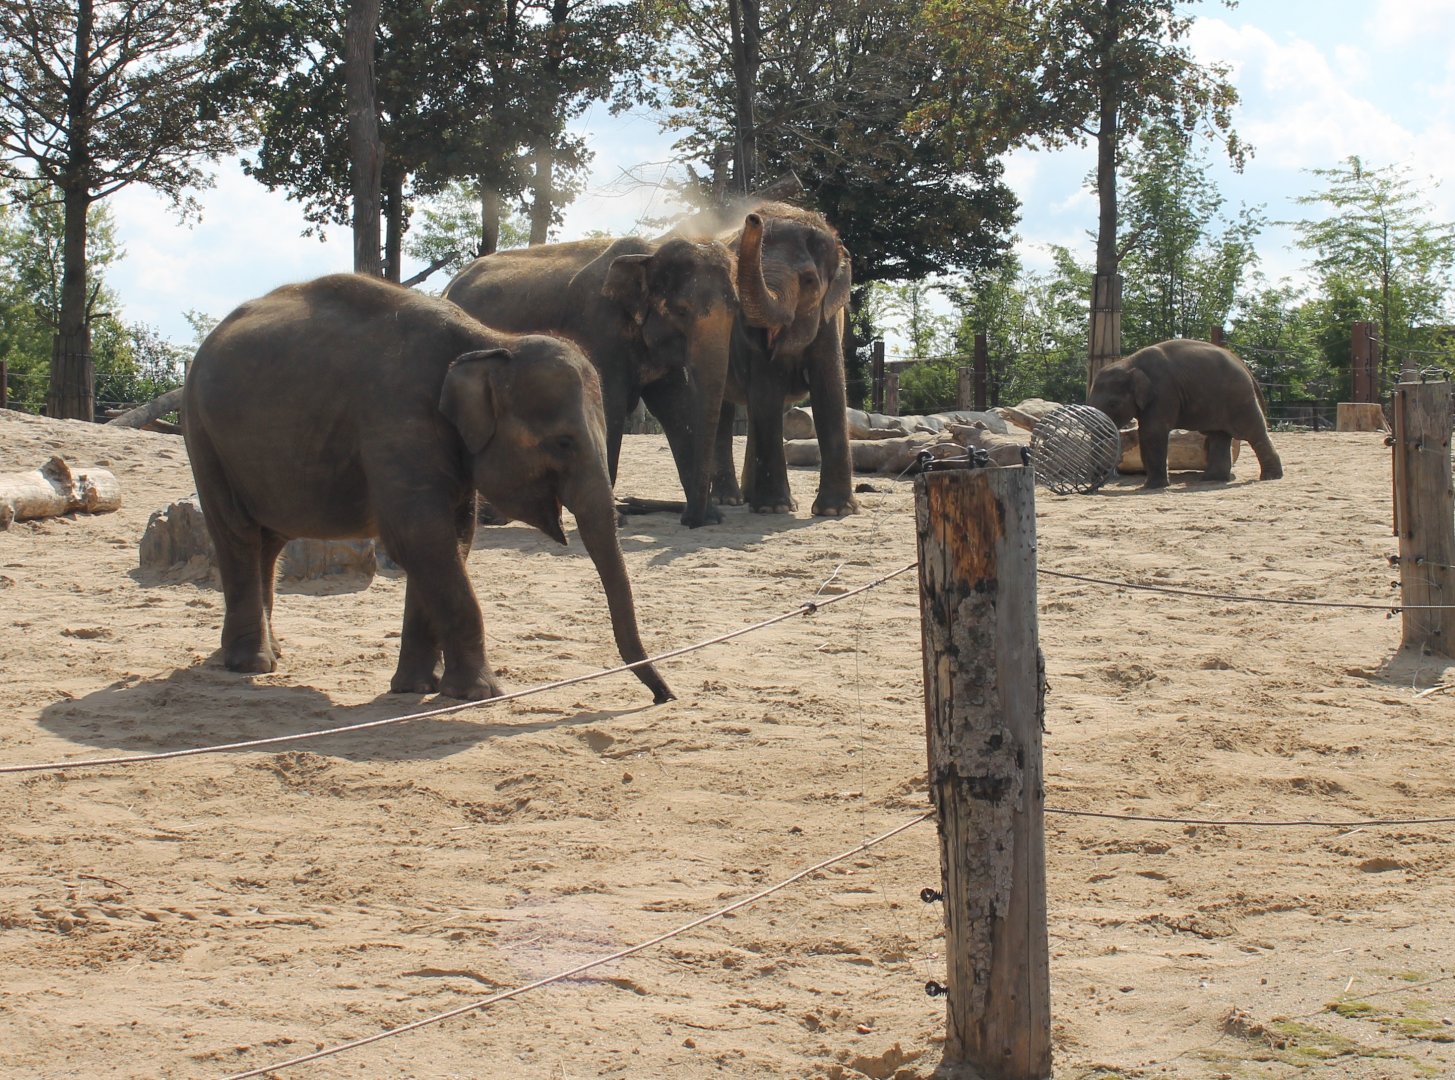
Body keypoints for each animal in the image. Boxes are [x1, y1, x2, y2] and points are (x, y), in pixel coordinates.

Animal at [183, 273, 673, 704]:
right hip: (203, 433)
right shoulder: (396, 418)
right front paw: (478, 693)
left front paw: (418, 688)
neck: (489, 341)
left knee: (269, 541)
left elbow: (450, 540)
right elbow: (420, 537)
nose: (664, 697)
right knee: (238, 534)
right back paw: (251, 664)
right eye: (564, 442)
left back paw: (268, 653)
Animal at [443, 234, 738, 528]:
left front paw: (711, 517)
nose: (690, 520)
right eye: (681, 311)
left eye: (734, 309)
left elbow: (676, 409)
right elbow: (610, 406)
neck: (649, 253)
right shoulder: (599, 329)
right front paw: (617, 519)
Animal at [711, 202, 857, 516]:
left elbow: (830, 393)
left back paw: (749, 498)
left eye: (810, 281)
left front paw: (835, 512)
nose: (753, 217)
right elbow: (768, 394)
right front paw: (775, 508)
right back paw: (728, 500)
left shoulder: (829, 322)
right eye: (735, 276)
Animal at [1087, 338, 1284, 490]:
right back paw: (1211, 479)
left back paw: (1270, 477)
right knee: (1219, 436)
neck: (1130, 362)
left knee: (1252, 432)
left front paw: (1151, 487)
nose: (1097, 484)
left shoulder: (1163, 391)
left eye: (1113, 404)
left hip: (1239, 398)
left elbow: (1152, 432)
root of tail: (1244, 367)